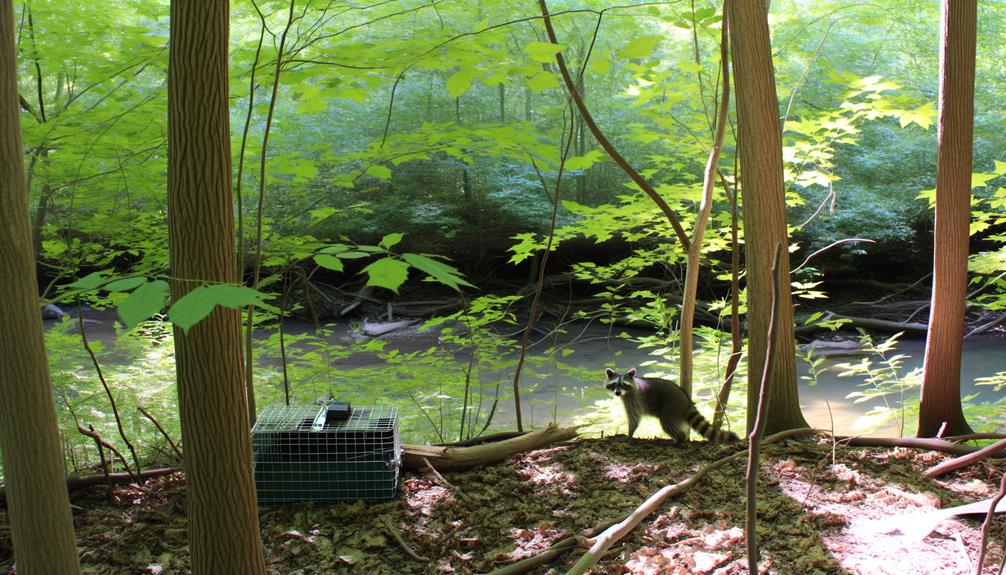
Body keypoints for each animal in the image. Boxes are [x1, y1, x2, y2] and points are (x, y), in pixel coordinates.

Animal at [603, 367, 740, 444]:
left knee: (668, 424)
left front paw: (629, 434)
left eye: (624, 384)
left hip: (671, 407)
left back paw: (679, 440)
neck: (625, 393)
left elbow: (634, 418)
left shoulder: (633, 400)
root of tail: (686, 400)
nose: (617, 393)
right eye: (614, 384)